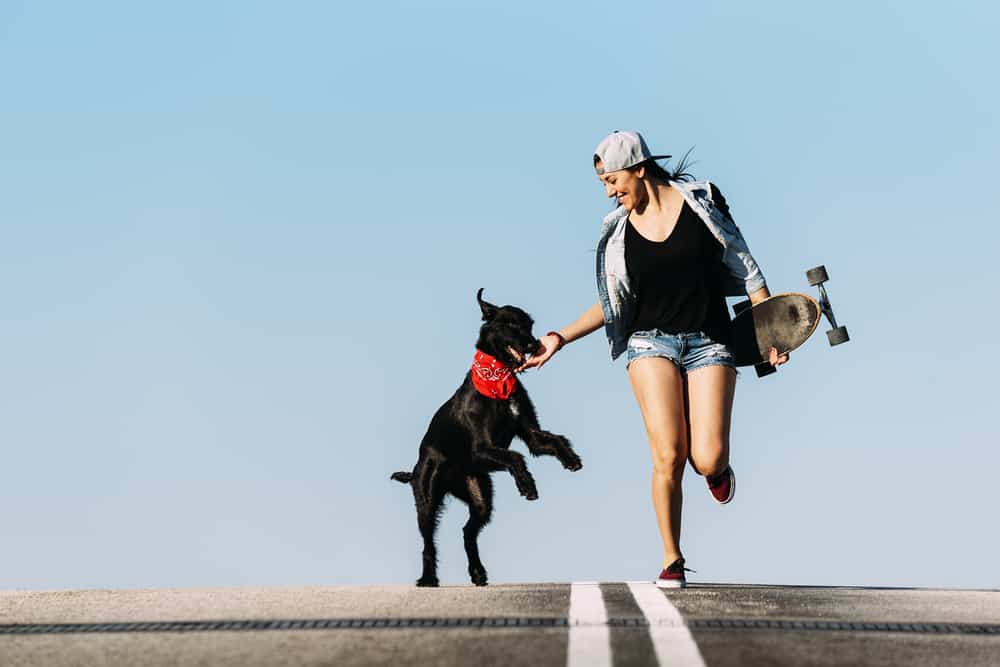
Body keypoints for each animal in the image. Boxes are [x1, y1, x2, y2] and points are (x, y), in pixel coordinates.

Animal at [388, 290, 584, 588]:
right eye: (511, 324)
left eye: (530, 324)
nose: (535, 344)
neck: (497, 377)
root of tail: (415, 469)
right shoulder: (481, 449)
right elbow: (516, 456)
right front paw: (527, 485)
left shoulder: (530, 435)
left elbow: (554, 440)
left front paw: (570, 459)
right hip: (427, 501)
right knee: (428, 543)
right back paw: (428, 578)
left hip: (479, 497)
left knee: (467, 532)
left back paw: (478, 572)